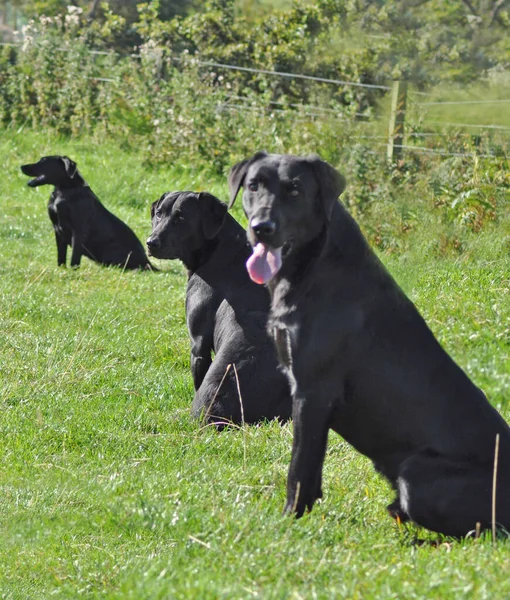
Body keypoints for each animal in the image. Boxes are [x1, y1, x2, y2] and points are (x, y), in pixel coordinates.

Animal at [19, 155, 153, 270]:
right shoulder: (57, 230)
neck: (64, 190)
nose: (22, 166)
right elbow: (61, 256)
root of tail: (147, 262)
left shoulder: (78, 230)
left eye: (43, 161)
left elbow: (74, 256)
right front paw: (61, 269)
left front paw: (73, 271)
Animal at [230, 152, 510, 536]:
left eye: (295, 190)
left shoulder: (313, 392)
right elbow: (312, 471)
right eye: (253, 185)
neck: (314, 263)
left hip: (415, 472)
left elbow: (299, 469)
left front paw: (288, 520)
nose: (262, 227)